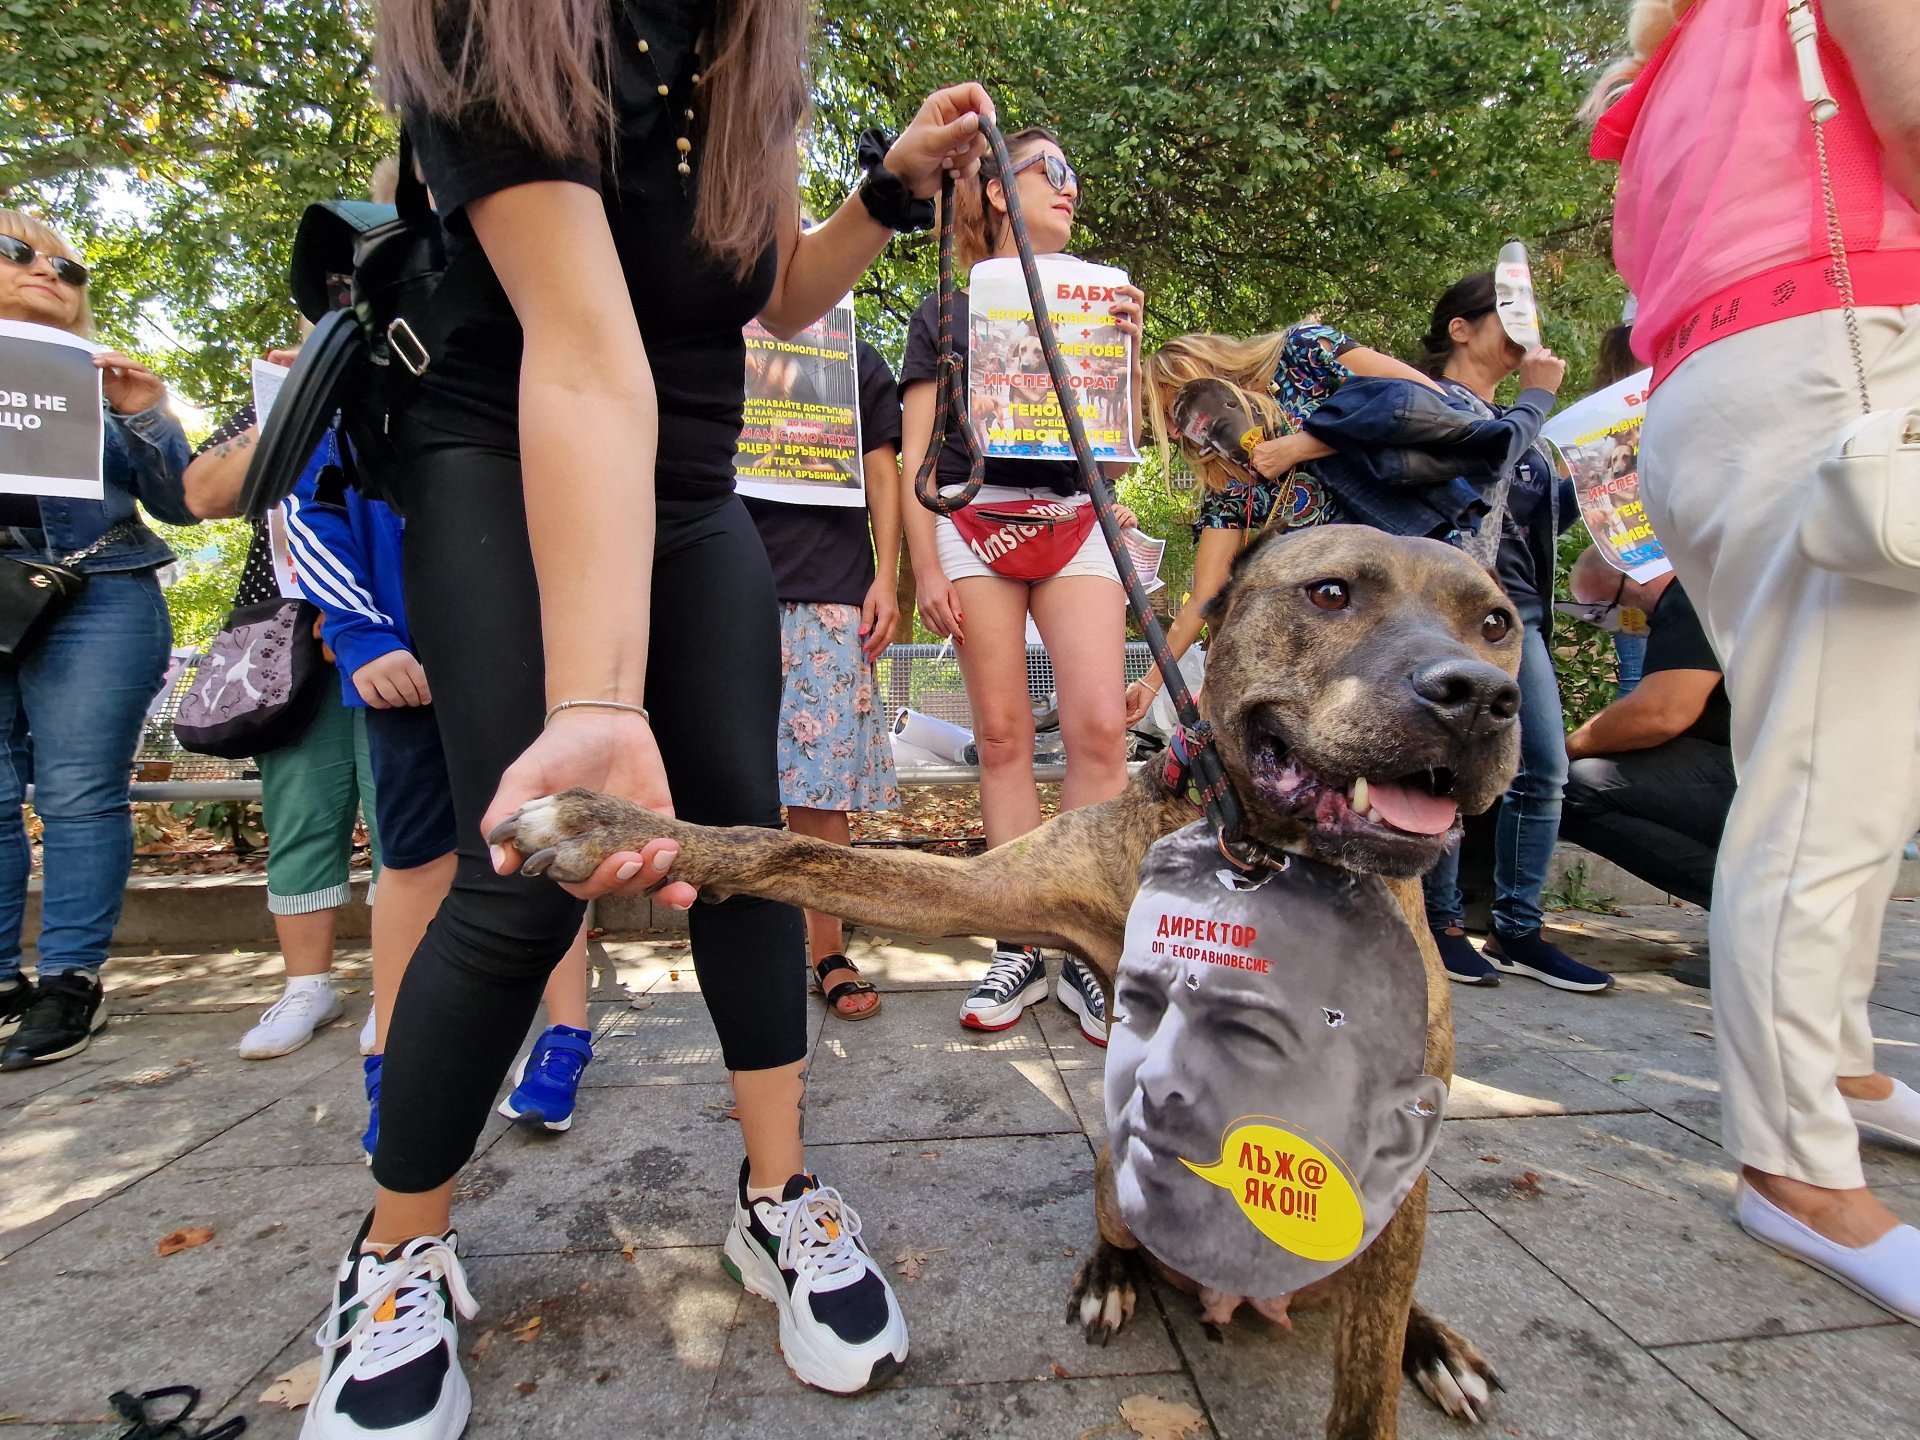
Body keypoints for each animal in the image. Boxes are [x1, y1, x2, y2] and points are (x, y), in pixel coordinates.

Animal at [495, 529, 1528, 1440]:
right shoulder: (979, 887)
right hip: (1119, 1172)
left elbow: (1365, 1388)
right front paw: (610, 823)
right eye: (1330, 593)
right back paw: (1112, 1279)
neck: (1265, 862)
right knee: (1131, 1231)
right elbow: (782, 848)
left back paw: (1434, 1347)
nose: (1480, 697)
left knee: (1387, 1300)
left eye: (1496, 622)